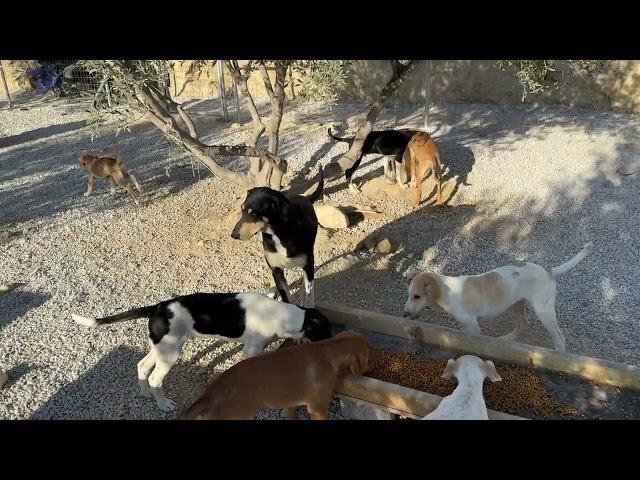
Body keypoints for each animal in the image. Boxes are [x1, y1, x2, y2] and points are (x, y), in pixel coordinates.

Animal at [70, 292, 332, 412]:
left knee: (142, 367)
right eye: (326, 330)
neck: (284, 315)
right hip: (170, 353)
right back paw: (163, 404)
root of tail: (156, 308)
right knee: (155, 378)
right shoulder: (252, 350)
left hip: (161, 348)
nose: (335, 342)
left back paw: (145, 393)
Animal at [179, 330, 370, 420]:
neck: (328, 350)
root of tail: (210, 395)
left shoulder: (291, 402)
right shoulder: (317, 409)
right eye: (368, 358)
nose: (367, 370)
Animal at [231, 167, 324, 306]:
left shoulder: (308, 266)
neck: (278, 234)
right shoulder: (277, 270)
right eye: (242, 209)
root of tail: (305, 198)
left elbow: (309, 294)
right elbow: (285, 296)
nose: (233, 235)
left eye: (253, 213)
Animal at [408, 244, 592, 352]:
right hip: (517, 303)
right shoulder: (465, 326)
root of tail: (548, 270)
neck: (447, 289)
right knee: (523, 324)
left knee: (559, 339)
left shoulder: (472, 326)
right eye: (409, 295)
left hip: (544, 311)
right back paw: (506, 340)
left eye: (417, 296)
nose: (404, 314)